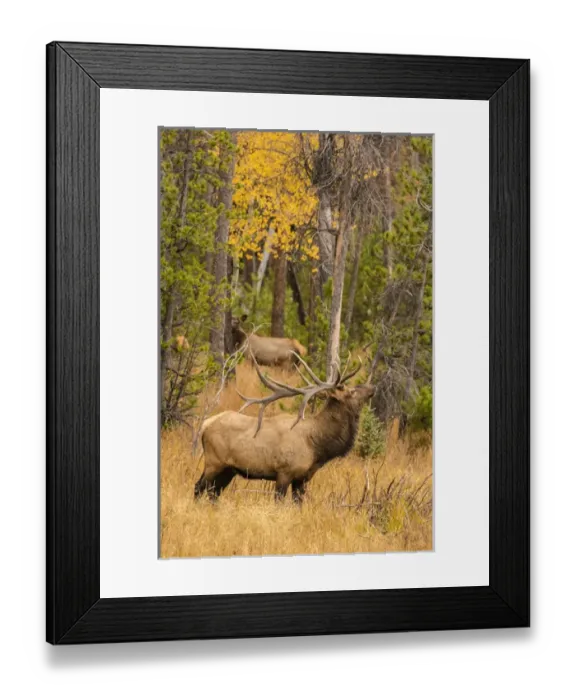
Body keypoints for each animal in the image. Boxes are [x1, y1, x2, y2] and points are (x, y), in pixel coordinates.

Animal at [194, 353, 375, 503]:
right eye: (352, 392)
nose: (372, 388)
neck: (317, 446)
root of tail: (205, 424)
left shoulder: (302, 478)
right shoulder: (284, 472)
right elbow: (279, 502)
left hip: (229, 469)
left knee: (213, 493)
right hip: (214, 461)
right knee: (199, 487)